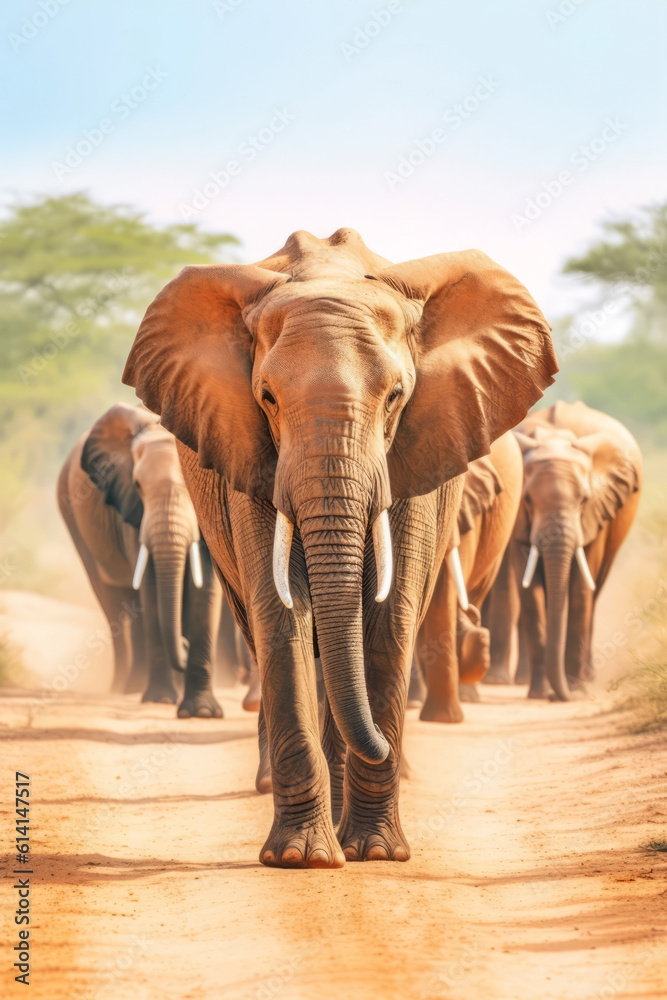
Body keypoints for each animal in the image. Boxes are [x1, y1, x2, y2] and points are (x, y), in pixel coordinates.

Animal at [57, 402, 223, 717]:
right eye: (137, 485)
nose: (183, 643)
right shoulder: (130, 508)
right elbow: (150, 585)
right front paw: (161, 700)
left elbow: (205, 588)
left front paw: (202, 713)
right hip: (70, 515)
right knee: (114, 602)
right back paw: (127, 688)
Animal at [504, 400, 642, 700]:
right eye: (527, 499)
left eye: (584, 500)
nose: (560, 696)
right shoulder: (518, 521)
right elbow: (529, 591)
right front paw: (539, 693)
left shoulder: (598, 513)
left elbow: (580, 587)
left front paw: (575, 689)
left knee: (595, 590)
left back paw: (586, 678)